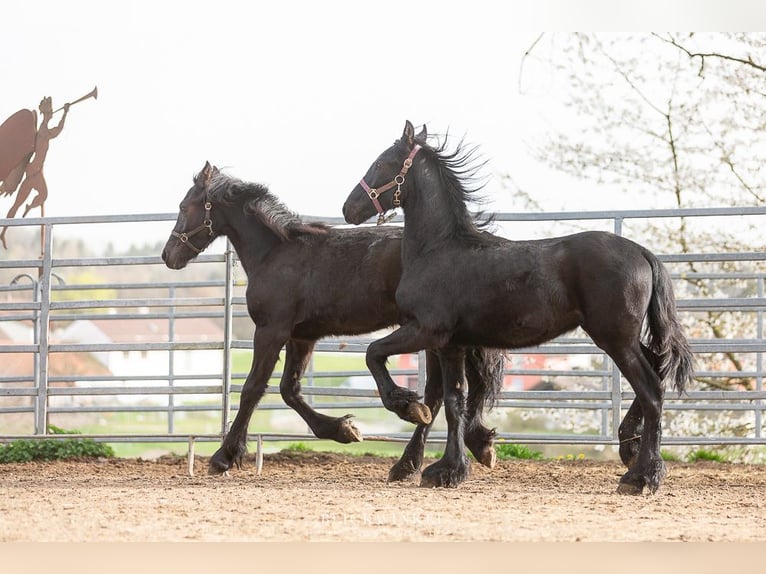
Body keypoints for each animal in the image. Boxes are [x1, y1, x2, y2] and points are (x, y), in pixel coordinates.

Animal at [161, 161, 505, 480]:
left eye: (183, 206)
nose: (168, 255)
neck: (276, 254)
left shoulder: (271, 331)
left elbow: (253, 388)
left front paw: (224, 457)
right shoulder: (301, 337)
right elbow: (289, 389)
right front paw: (343, 429)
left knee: (438, 393)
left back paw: (417, 450)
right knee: (445, 391)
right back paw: (458, 448)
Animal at [342, 121, 694, 493]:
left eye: (381, 164)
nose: (348, 208)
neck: (438, 250)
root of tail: (642, 252)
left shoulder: (430, 333)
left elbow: (379, 357)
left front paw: (422, 433)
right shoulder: (451, 344)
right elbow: (453, 400)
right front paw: (447, 464)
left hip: (615, 339)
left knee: (652, 390)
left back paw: (642, 477)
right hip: (623, 339)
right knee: (656, 371)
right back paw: (631, 450)